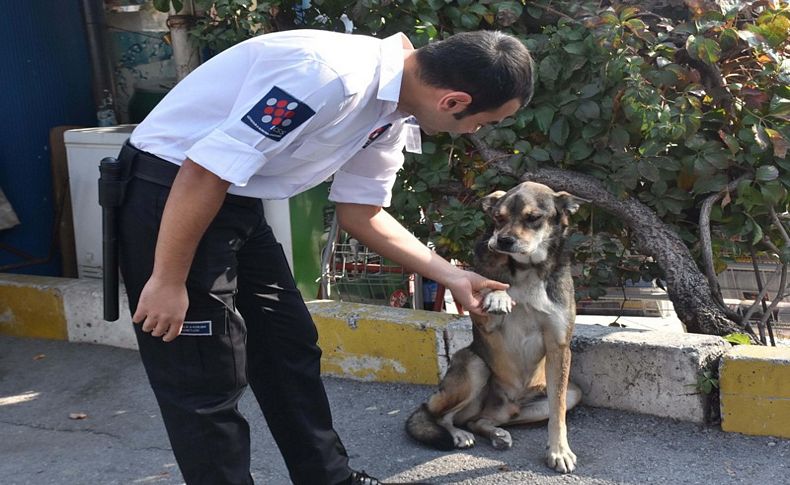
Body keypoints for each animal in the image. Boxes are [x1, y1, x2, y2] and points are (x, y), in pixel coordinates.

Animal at [412, 182, 584, 472]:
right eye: (498, 218)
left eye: (533, 217)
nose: (502, 241)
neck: (528, 269)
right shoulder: (486, 321)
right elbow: (489, 286)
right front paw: (499, 295)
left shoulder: (559, 346)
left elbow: (557, 412)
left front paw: (559, 450)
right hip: (474, 366)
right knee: (441, 415)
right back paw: (458, 434)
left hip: (564, 395)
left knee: (479, 420)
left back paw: (497, 433)